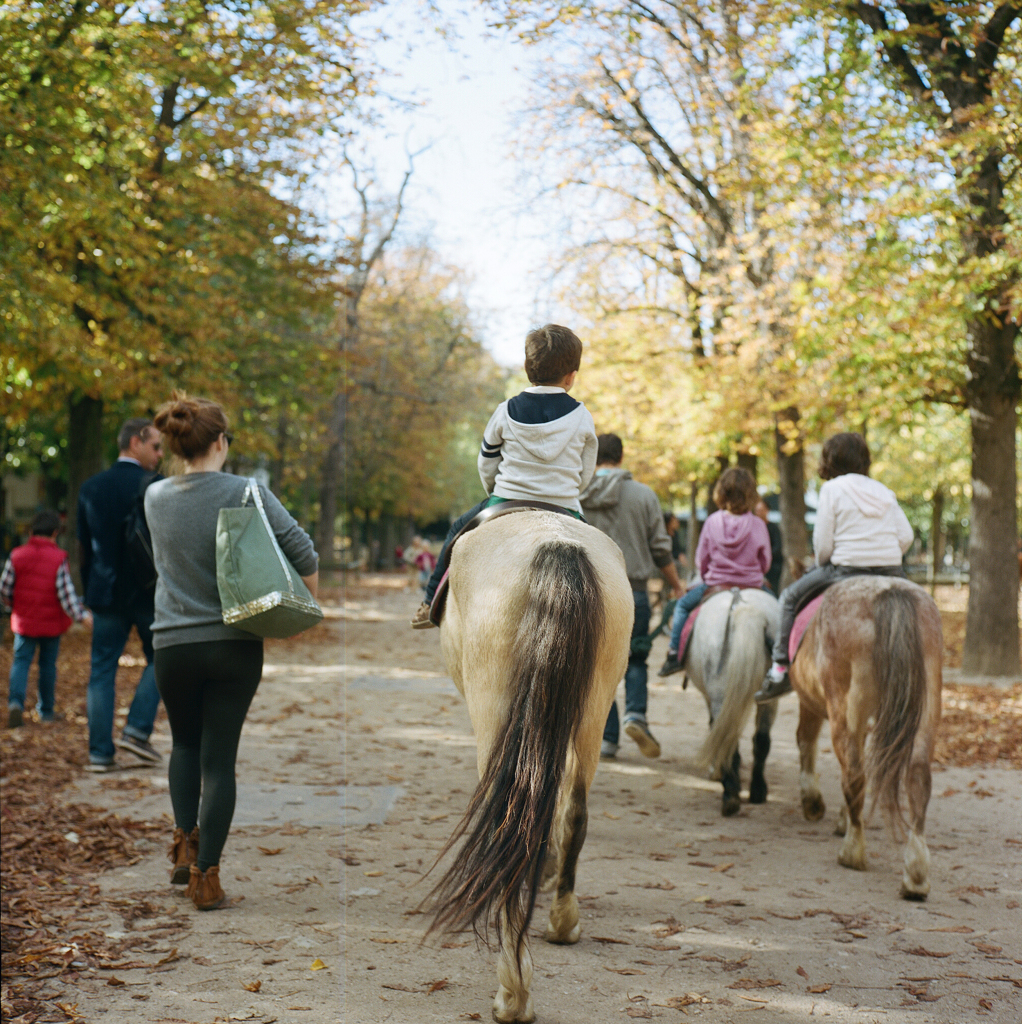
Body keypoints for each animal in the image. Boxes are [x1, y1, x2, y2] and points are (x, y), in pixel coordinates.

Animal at [421, 507, 630, 1019]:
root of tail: (556, 544)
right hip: (593, 709)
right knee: (573, 812)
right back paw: (562, 922)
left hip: (496, 708)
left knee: (508, 824)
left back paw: (513, 991)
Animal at [790, 577, 942, 897]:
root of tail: (887, 592)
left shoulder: (810, 703)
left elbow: (806, 741)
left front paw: (814, 804)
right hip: (927, 707)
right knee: (917, 775)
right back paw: (915, 875)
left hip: (845, 707)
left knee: (854, 773)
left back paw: (852, 852)